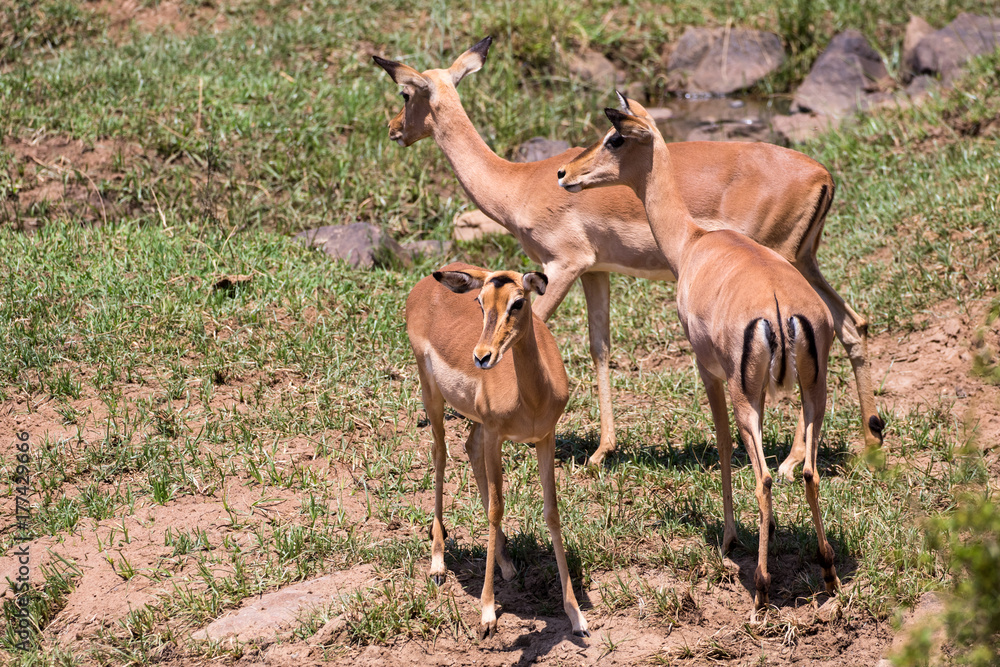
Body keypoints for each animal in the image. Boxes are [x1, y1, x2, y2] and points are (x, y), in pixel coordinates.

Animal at [373, 37, 884, 474]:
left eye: (405, 92)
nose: (394, 129)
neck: (519, 183)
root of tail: (822, 175)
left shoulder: (562, 265)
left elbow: (537, 322)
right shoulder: (595, 272)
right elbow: (600, 347)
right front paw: (602, 451)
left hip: (780, 266)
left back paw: (793, 460)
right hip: (805, 262)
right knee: (850, 325)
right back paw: (871, 440)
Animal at [405, 262, 589, 639]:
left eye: (518, 302)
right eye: (480, 302)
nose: (482, 356)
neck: (531, 399)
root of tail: (425, 285)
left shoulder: (545, 437)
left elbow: (551, 511)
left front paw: (576, 615)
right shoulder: (496, 434)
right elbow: (496, 509)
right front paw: (488, 613)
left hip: (478, 424)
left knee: (467, 447)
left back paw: (506, 564)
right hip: (432, 394)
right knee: (440, 454)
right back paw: (438, 564)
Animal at [557, 95, 841, 616]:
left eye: (615, 138)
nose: (565, 173)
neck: (693, 240)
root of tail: (780, 309)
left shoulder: (708, 371)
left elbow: (724, 448)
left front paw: (728, 539)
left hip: (745, 396)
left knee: (765, 477)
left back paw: (761, 591)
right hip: (814, 392)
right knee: (808, 471)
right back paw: (829, 573)